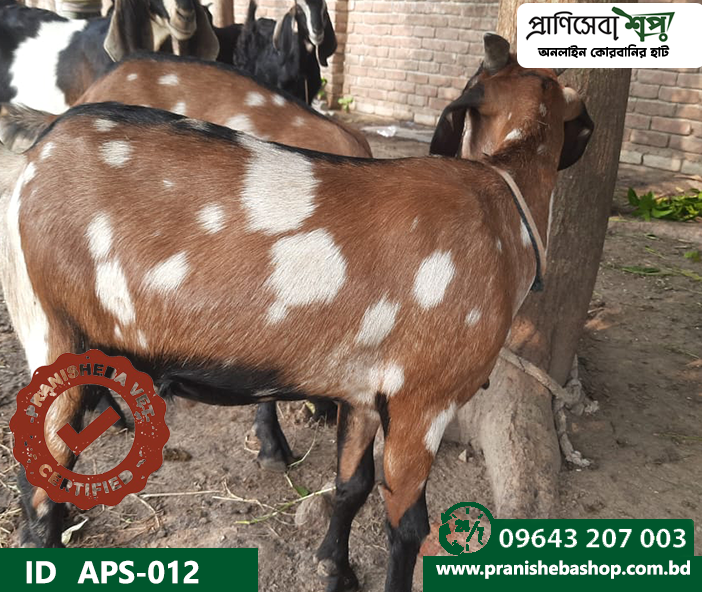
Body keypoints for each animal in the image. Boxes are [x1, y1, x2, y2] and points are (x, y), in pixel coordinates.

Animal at [0, 33, 593, 591]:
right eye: (575, 110)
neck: (503, 209)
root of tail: (36, 156)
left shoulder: (363, 393)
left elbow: (351, 486)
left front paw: (335, 566)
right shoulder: (424, 400)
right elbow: (408, 527)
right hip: (52, 329)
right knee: (38, 492)